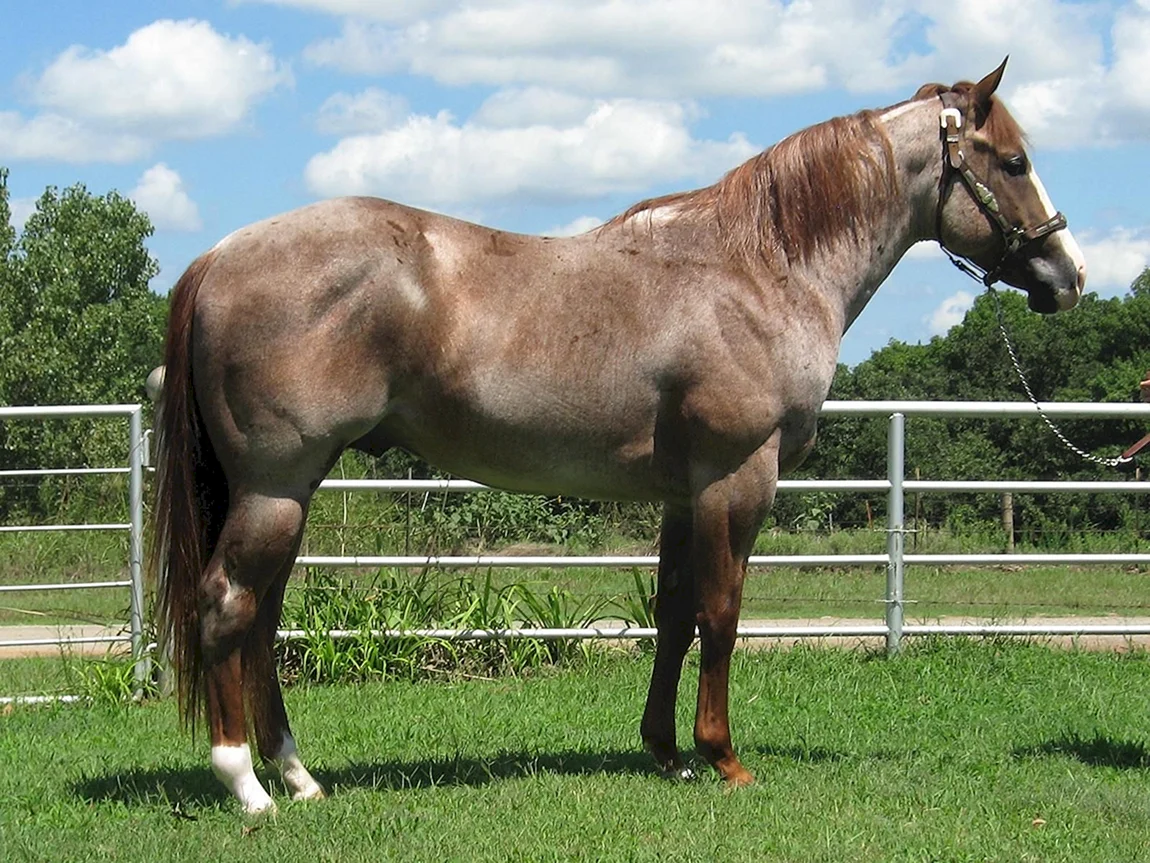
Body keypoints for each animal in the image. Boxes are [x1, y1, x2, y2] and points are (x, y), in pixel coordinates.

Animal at [151, 60, 1086, 814]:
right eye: (1013, 162)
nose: (1070, 276)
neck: (759, 269)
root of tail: (217, 256)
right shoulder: (736, 480)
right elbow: (721, 613)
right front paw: (725, 757)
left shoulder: (681, 494)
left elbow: (672, 614)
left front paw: (668, 752)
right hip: (275, 486)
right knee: (229, 605)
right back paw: (245, 784)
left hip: (287, 491)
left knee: (263, 619)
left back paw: (298, 775)